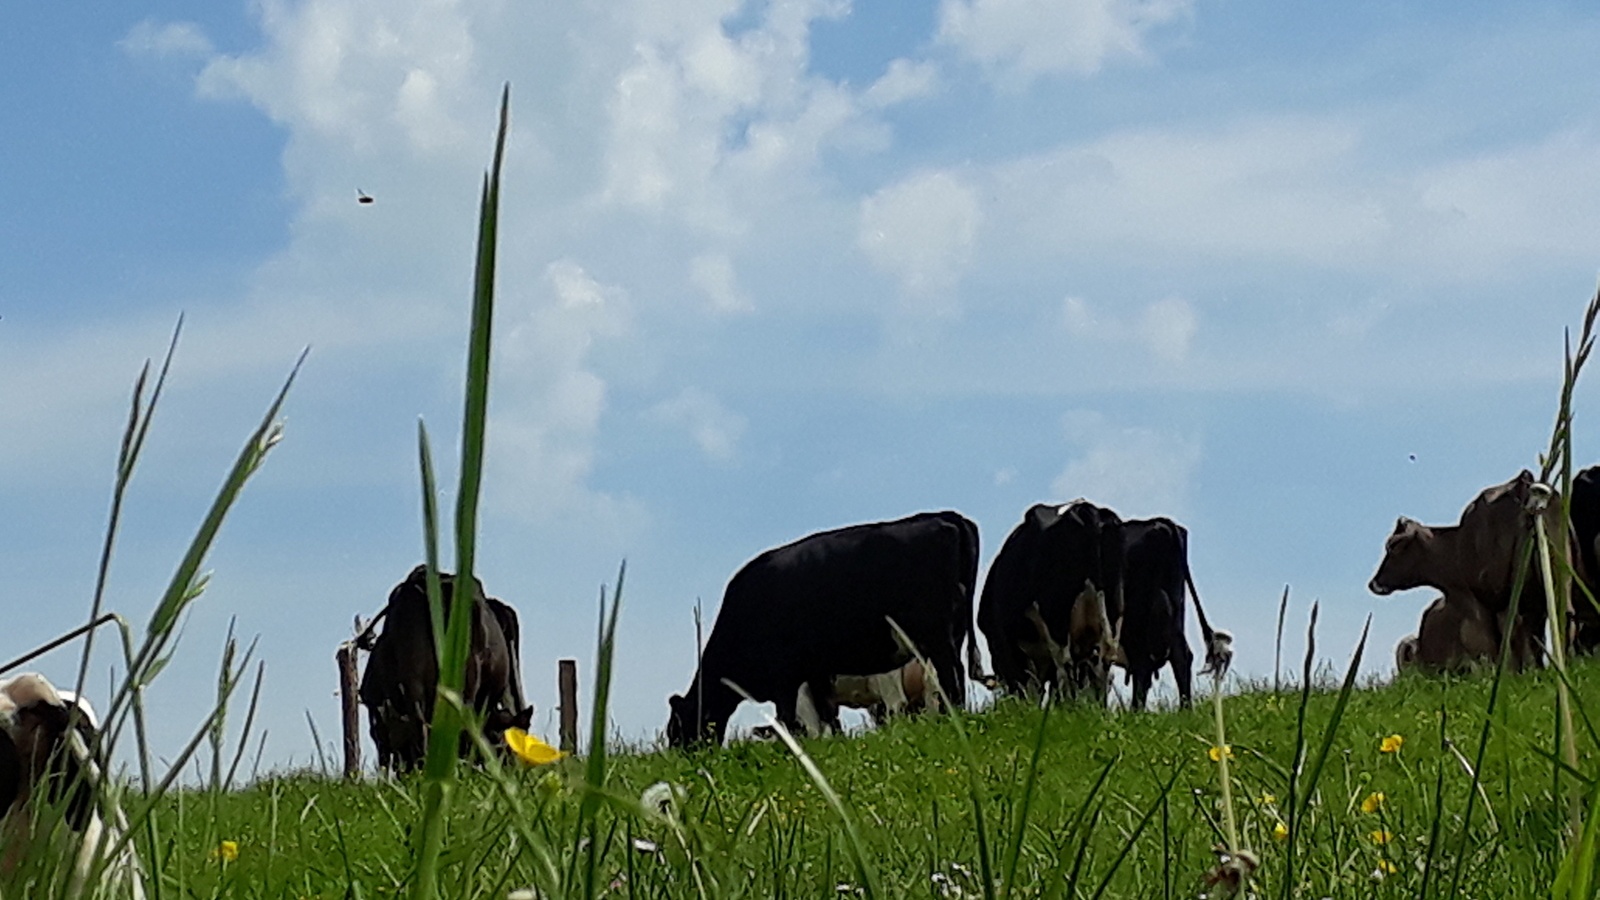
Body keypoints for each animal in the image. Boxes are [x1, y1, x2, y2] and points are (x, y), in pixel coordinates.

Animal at [668, 509, 979, 746]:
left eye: (676, 729)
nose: (683, 757)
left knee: (948, 675)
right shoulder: (816, 671)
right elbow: (828, 712)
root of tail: (944, 516)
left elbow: (789, 717)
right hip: (950, 633)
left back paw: (954, 715)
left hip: (934, 634)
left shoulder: (785, 677)